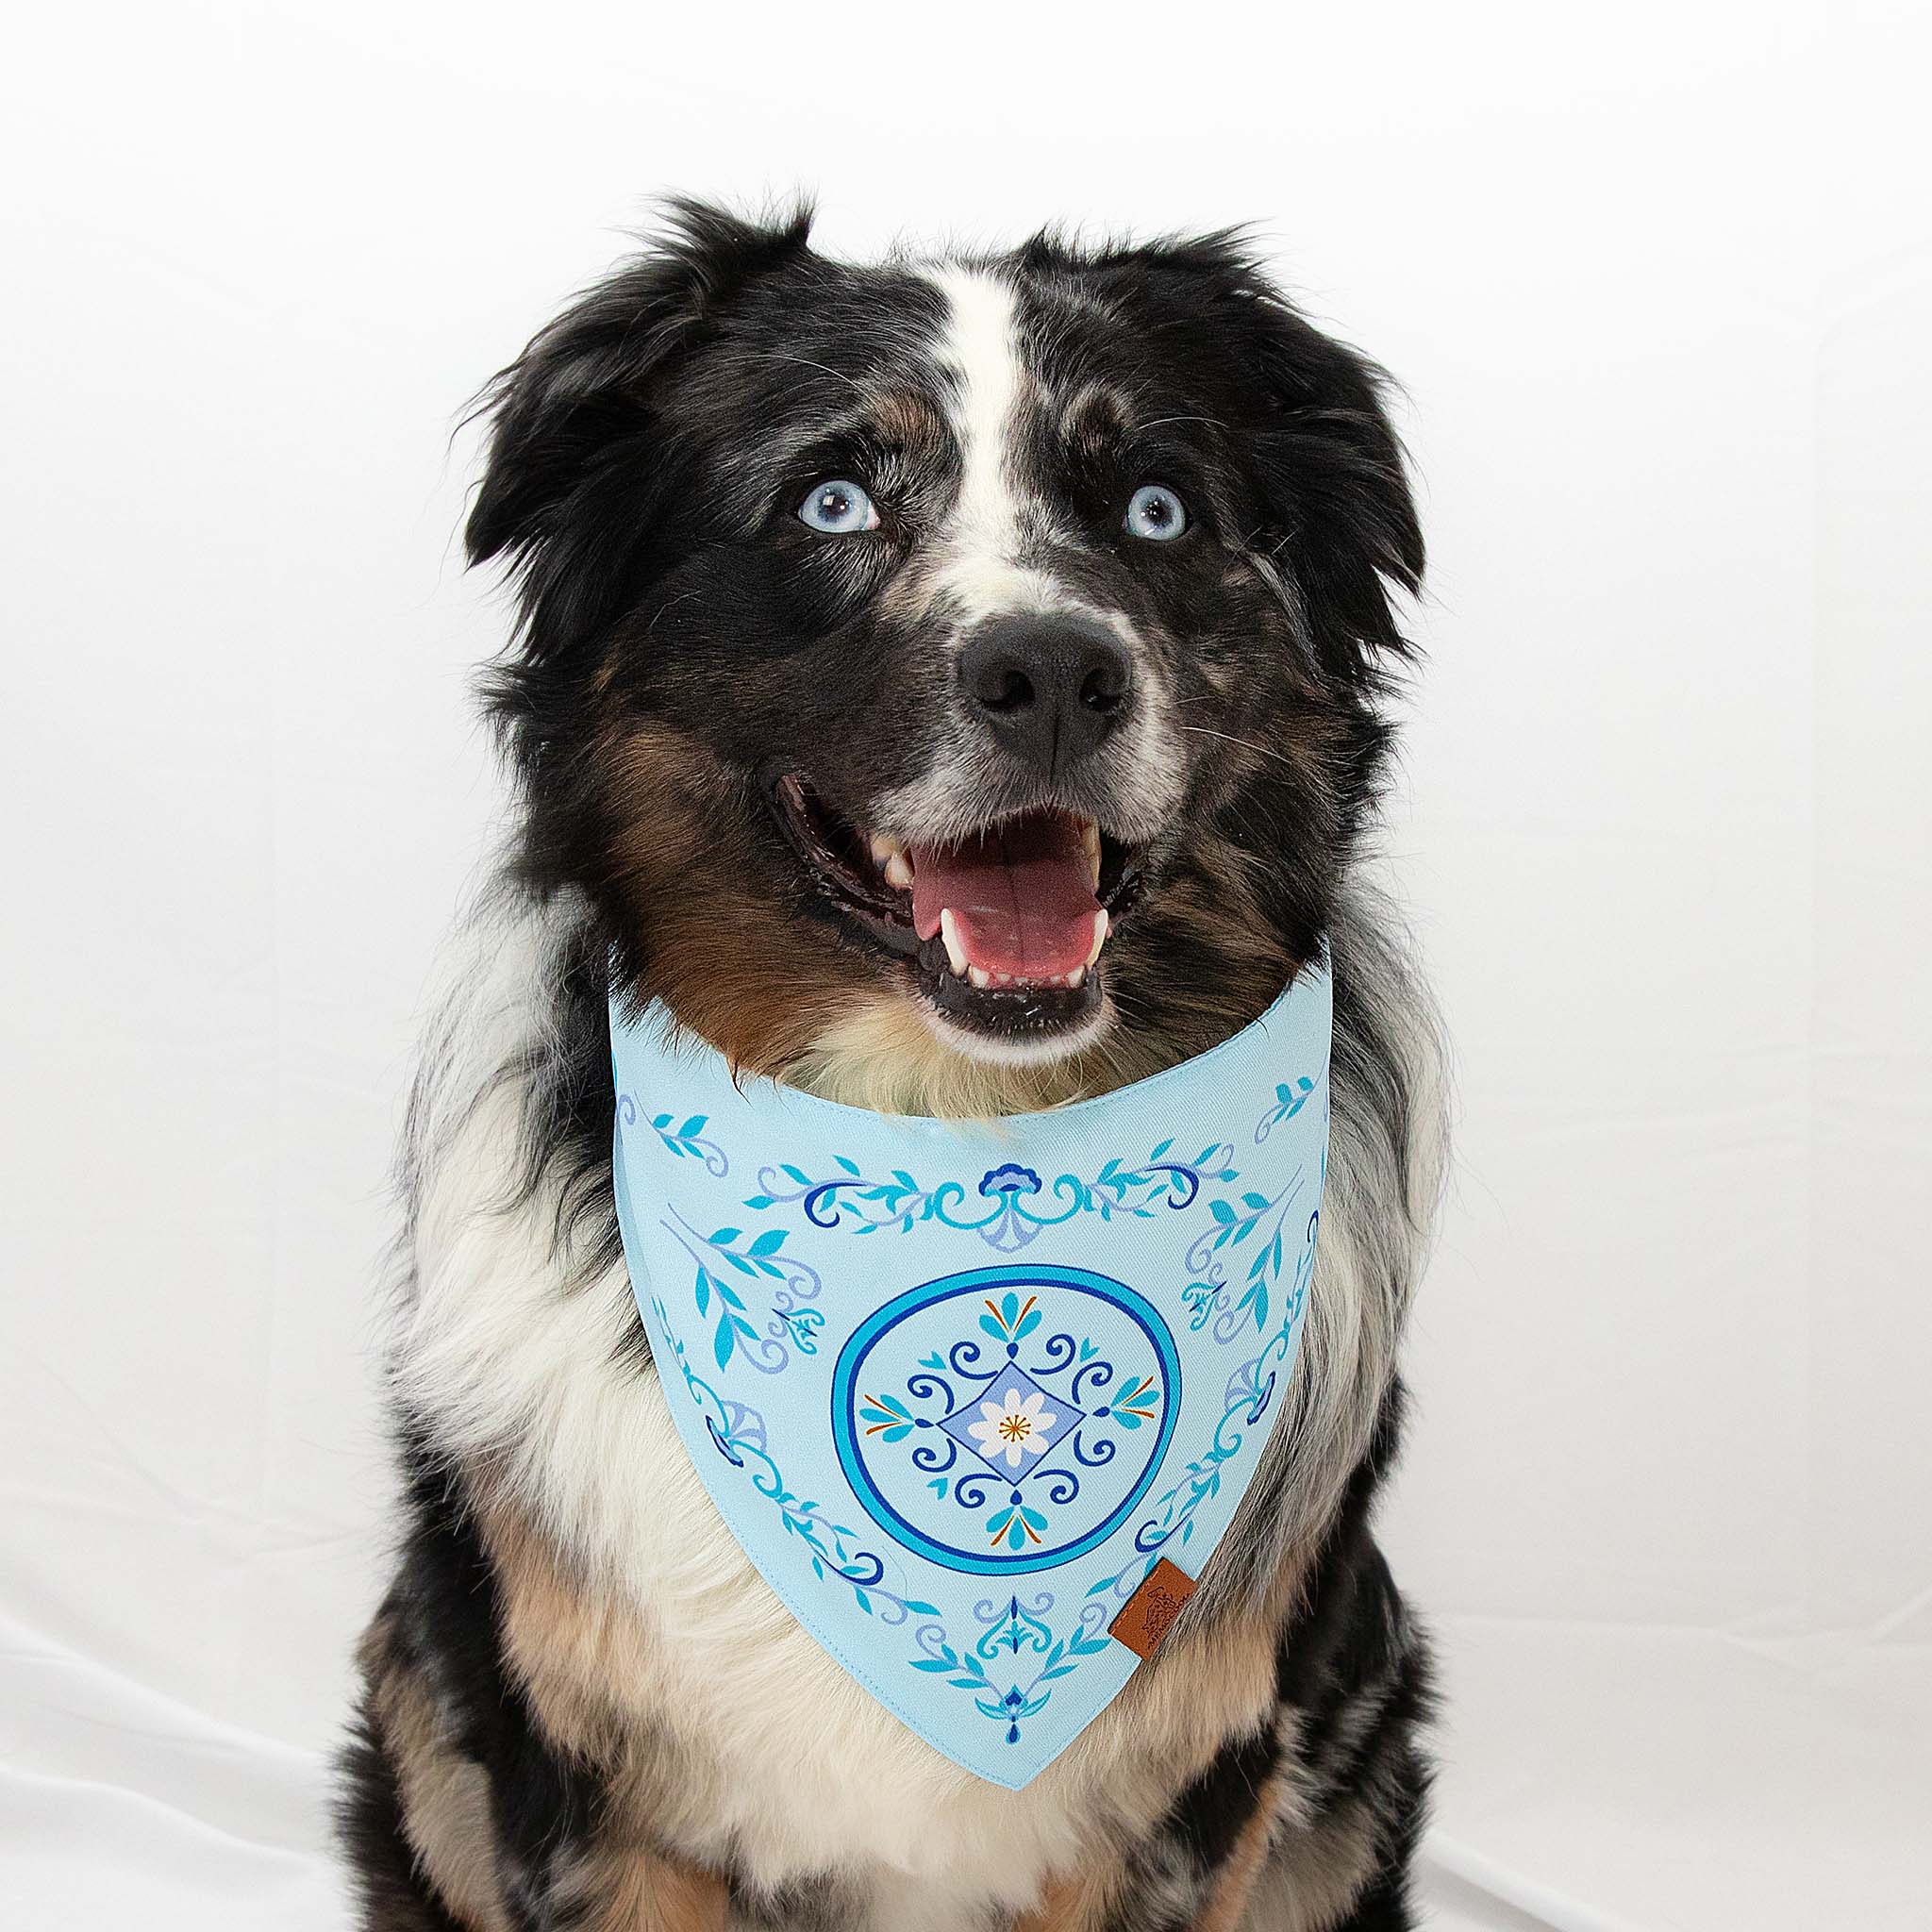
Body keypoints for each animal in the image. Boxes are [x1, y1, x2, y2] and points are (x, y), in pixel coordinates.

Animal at [336, 199, 1453, 1932]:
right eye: (833, 499)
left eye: (1157, 507)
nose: (1052, 674)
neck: (958, 1138)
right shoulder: (597, 1788)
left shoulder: (1185, 1792)